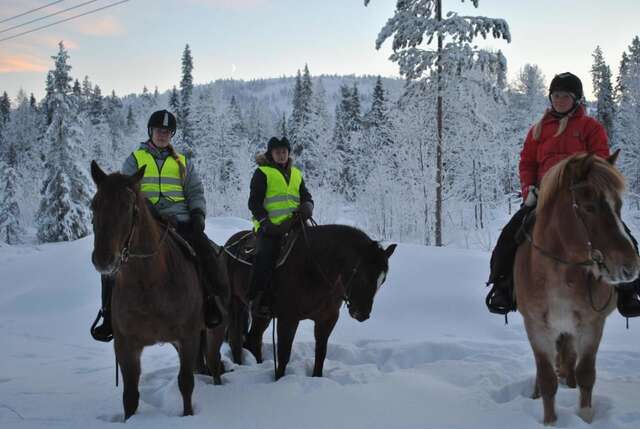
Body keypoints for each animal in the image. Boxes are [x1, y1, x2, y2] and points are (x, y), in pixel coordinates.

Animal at [89, 160, 226, 418]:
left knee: (214, 365)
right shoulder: (126, 345)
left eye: (129, 207)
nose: (103, 260)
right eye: (94, 205)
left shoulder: (187, 337)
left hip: (215, 330)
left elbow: (186, 383)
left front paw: (188, 416)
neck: (149, 284)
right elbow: (130, 397)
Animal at [225, 222, 396, 380]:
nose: (362, 314)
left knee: (254, 339)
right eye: (362, 276)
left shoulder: (327, 319)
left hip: (261, 315)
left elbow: (321, 353)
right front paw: (279, 379)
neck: (313, 269)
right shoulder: (288, 319)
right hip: (235, 304)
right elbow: (283, 354)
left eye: (383, 280)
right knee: (236, 339)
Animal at [516, 151, 640, 424]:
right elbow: (547, 377)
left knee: (570, 359)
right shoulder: (537, 327)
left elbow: (585, 373)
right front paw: (550, 421)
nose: (630, 266)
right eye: (589, 207)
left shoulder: (591, 326)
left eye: (619, 206)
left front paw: (584, 416)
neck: (560, 272)